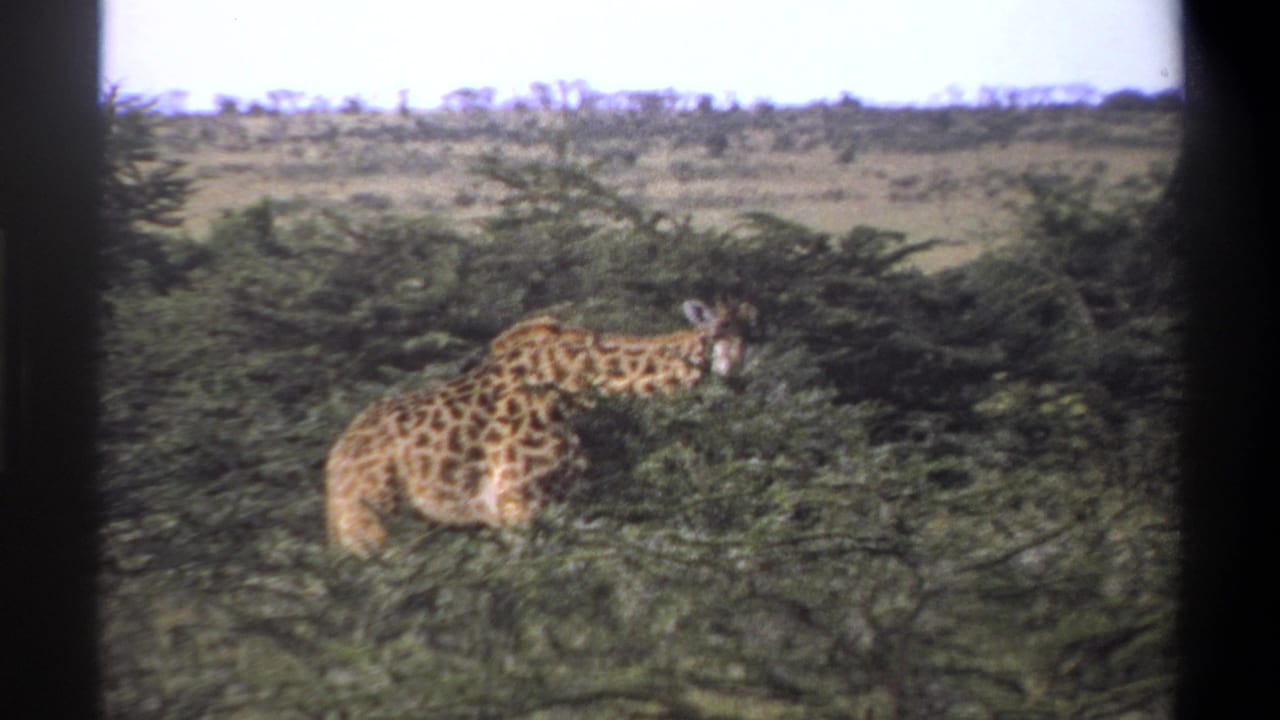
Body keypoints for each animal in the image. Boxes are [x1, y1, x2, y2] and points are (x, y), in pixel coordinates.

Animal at [324, 299, 759, 557]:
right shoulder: (518, 504)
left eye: (755, 335)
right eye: (716, 332)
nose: (735, 379)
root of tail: (335, 460)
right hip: (369, 525)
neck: (580, 388)